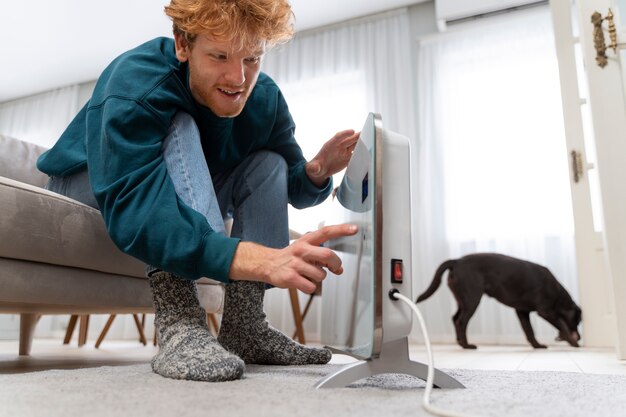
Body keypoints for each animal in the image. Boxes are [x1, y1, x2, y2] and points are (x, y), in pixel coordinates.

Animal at [414, 254, 580, 348]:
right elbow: (562, 324)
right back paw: (467, 345)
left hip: (462, 300)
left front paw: (537, 346)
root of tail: (457, 261)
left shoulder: (522, 311)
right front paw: (574, 343)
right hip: (472, 299)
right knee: (461, 321)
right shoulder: (545, 312)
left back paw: (460, 342)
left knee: (455, 318)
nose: (579, 336)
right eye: (578, 321)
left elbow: (529, 331)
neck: (557, 292)